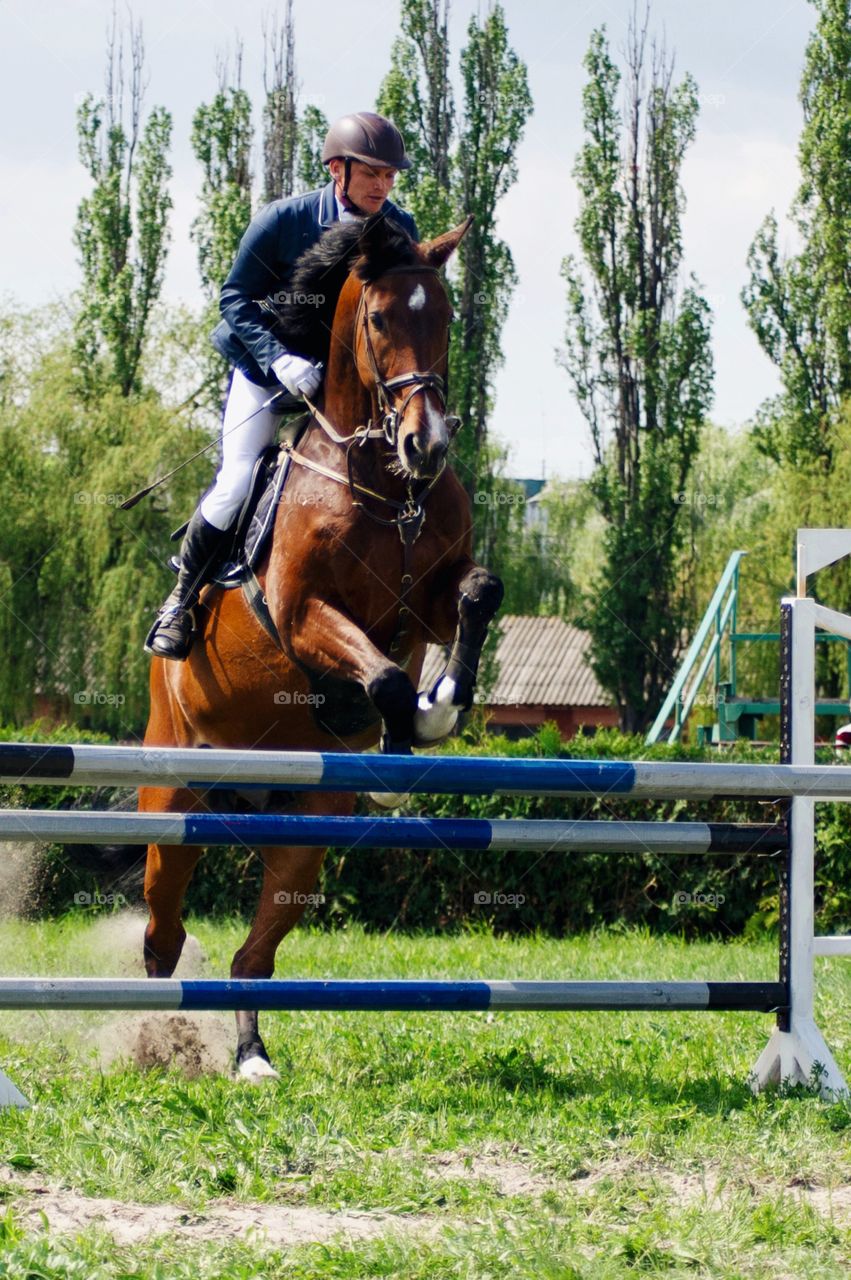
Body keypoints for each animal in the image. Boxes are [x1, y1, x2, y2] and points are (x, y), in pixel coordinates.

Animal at [136, 215, 501, 1075]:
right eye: (378, 320)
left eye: (444, 318)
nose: (427, 445)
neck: (382, 480)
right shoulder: (305, 614)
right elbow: (385, 680)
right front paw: (404, 747)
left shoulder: (427, 601)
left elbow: (476, 596)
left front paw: (443, 706)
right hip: (171, 793)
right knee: (163, 930)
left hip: (305, 823)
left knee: (251, 957)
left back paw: (250, 1056)